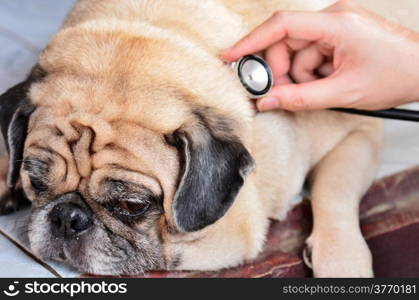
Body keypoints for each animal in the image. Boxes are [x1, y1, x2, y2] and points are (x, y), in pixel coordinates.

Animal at [0, 0, 384, 276]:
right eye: (35, 180)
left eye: (133, 206)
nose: (67, 217)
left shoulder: (361, 131)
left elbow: (333, 192)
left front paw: (342, 262)